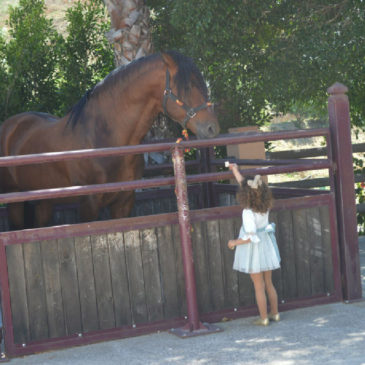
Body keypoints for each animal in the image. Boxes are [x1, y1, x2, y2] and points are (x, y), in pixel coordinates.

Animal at [0, 50, 219, 228]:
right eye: (188, 86)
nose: (212, 128)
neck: (104, 140)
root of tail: (10, 126)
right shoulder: (89, 204)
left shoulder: (123, 202)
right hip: (14, 200)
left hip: (43, 202)